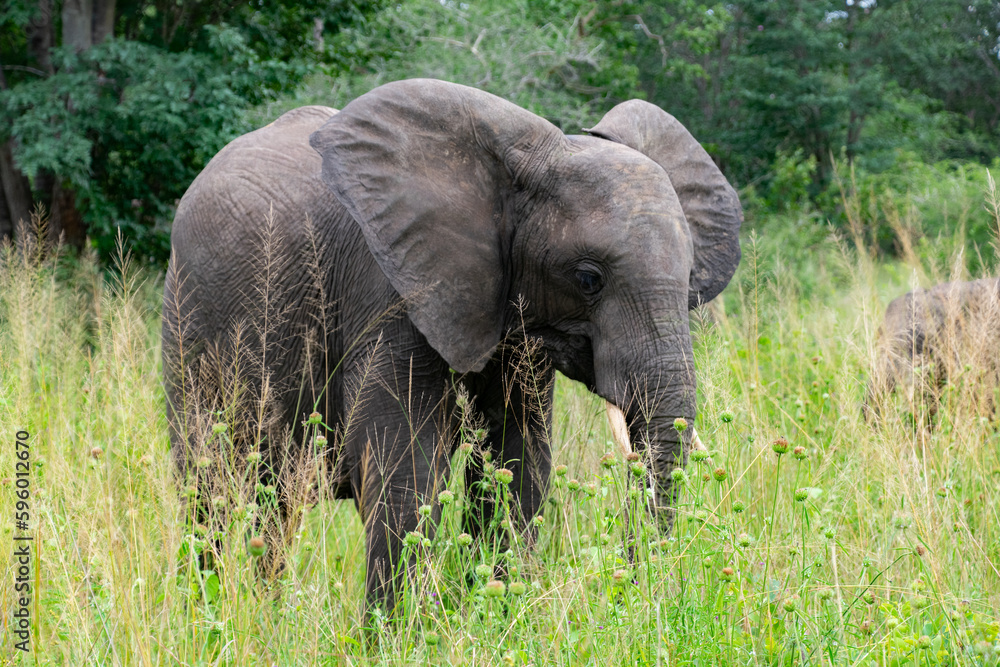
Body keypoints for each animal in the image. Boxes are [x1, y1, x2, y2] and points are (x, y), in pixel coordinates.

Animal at [164, 78, 744, 612]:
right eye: (587, 279)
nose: (626, 591)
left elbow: (518, 461)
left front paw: (494, 611)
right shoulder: (390, 289)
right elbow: (405, 471)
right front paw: (394, 637)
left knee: (273, 504)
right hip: (187, 323)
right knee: (209, 489)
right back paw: (206, 613)